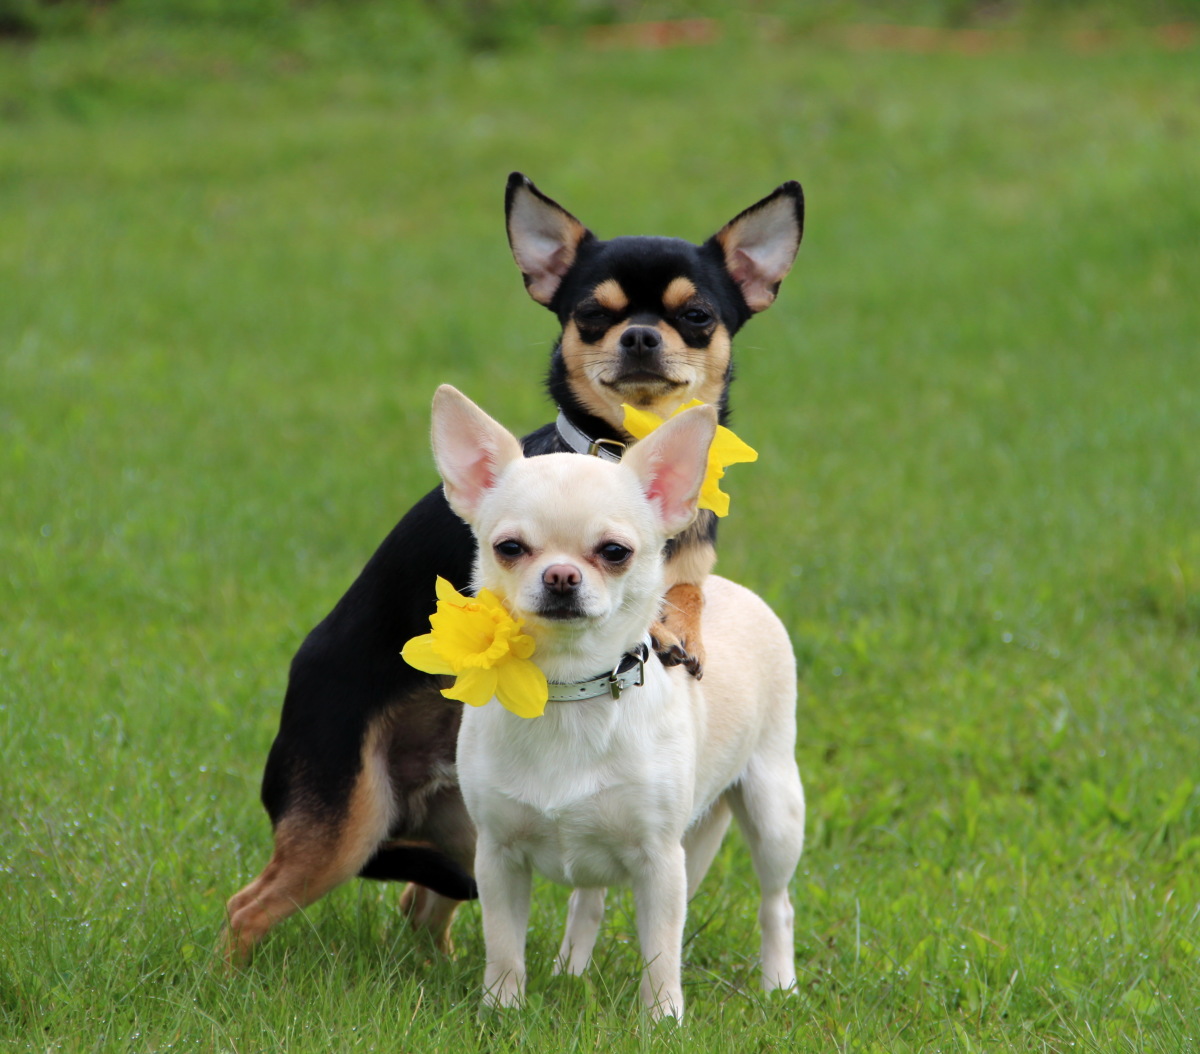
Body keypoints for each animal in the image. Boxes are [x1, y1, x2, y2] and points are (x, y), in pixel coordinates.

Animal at [432, 388, 806, 1022]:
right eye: (509, 548)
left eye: (614, 552)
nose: (561, 575)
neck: (567, 689)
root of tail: (726, 588)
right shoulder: (498, 859)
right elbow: (503, 945)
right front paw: (502, 1010)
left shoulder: (661, 864)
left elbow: (661, 951)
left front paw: (662, 1020)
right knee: (589, 901)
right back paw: (569, 970)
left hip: (775, 807)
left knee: (776, 902)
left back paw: (779, 984)